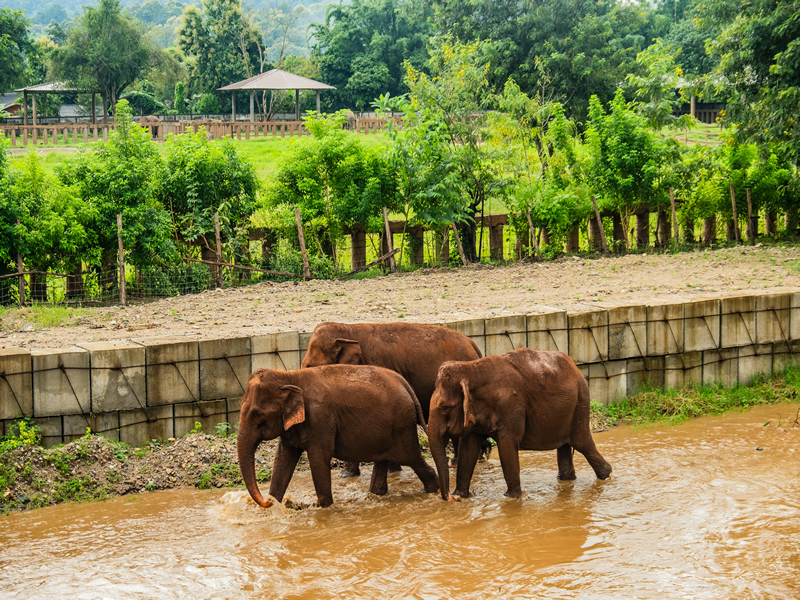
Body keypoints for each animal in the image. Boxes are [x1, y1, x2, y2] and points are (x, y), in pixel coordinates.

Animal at [237, 365, 439, 508]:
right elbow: (283, 460)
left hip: (402, 426)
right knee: (384, 460)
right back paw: (376, 495)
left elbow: (318, 459)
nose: (267, 501)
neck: (289, 376)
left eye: (258, 415)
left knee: (412, 458)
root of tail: (406, 385)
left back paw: (433, 491)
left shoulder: (320, 419)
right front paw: (276, 504)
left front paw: (322, 507)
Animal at [428, 348, 612, 501]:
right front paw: (461, 496)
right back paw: (567, 480)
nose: (450, 497)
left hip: (581, 402)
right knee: (565, 445)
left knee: (581, 442)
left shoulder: (511, 406)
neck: (470, 369)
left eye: (444, 407)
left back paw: (607, 475)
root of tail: (576, 367)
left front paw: (512, 498)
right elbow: (468, 448)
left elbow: (507, 446)